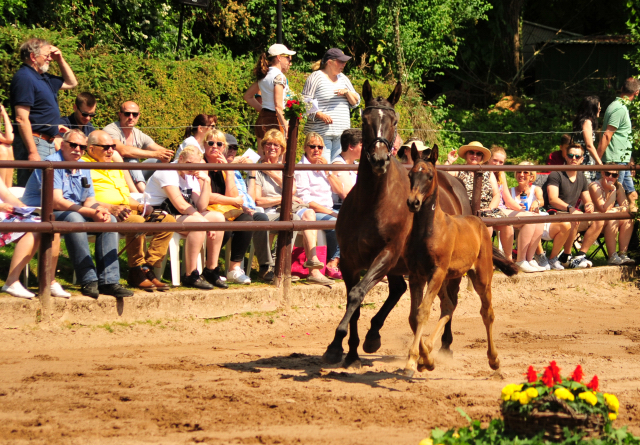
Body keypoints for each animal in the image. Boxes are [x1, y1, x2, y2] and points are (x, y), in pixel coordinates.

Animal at [322, 80, 472, 368]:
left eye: (394, 120)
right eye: (365, 119)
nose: (379, 159)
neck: (372, 202)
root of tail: (456, 183)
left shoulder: (386, 254)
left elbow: (357, 294)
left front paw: (336, 344)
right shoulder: (349, 260)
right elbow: (354, 301)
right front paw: (351, 352)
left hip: (445, 269)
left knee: (451, 298)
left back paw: (445, 345)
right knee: (399, 290)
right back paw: (373, 336)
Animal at [404, 144, 520, 376]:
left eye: (429, 176)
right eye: (410, 174)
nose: (413, 202)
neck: (428, 231)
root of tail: (480, 221)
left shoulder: (436, 272)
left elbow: (422, 312)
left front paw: (413, 361)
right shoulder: (416, 275)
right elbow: (414, 315)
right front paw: (424, 359)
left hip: (481, 276)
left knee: (487, 312)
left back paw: (494, 360)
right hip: (447, 279)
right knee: (449, 306)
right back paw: (429, 351)